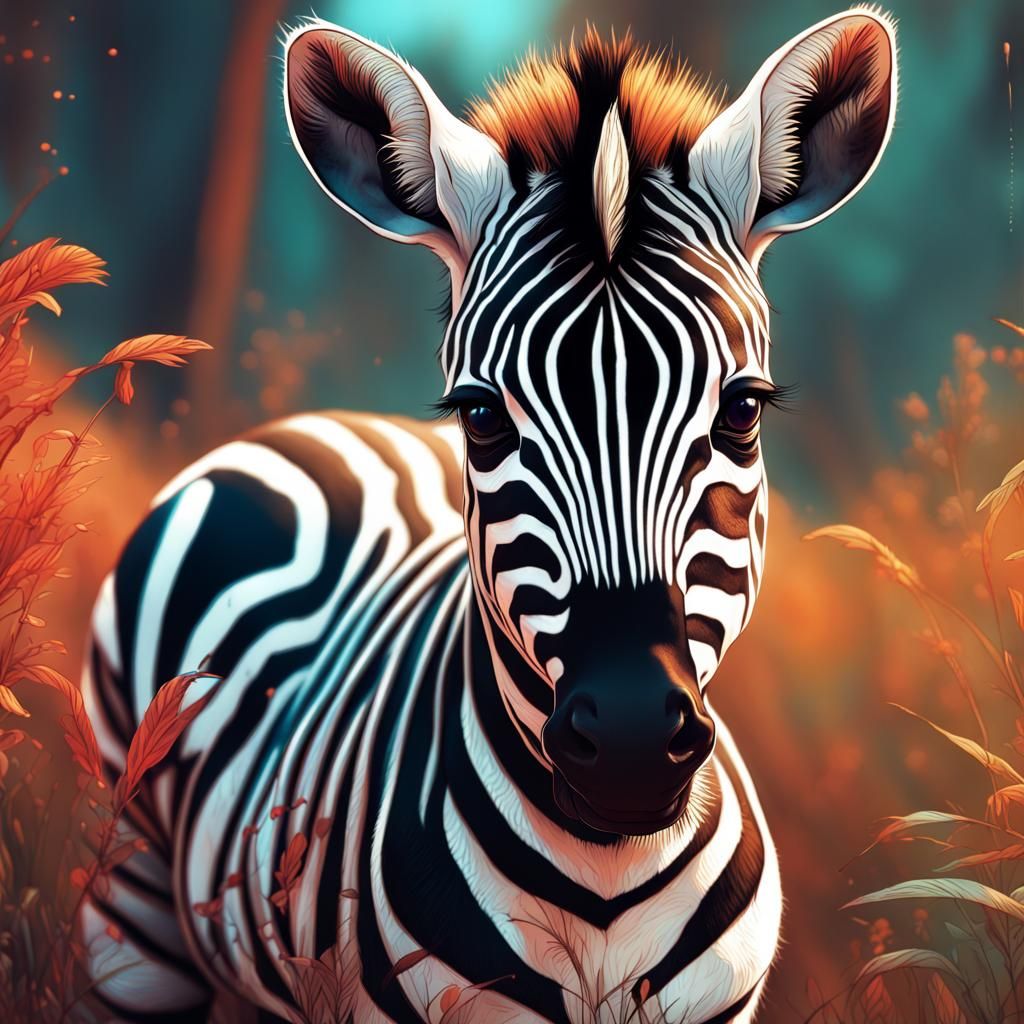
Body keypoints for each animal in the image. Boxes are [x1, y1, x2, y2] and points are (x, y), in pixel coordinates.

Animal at [79, 9, 897, 1023]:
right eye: (481, 417)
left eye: (742, 410)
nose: (630, 744)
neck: (606, 882)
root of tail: (311, 422)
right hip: (132, 905)